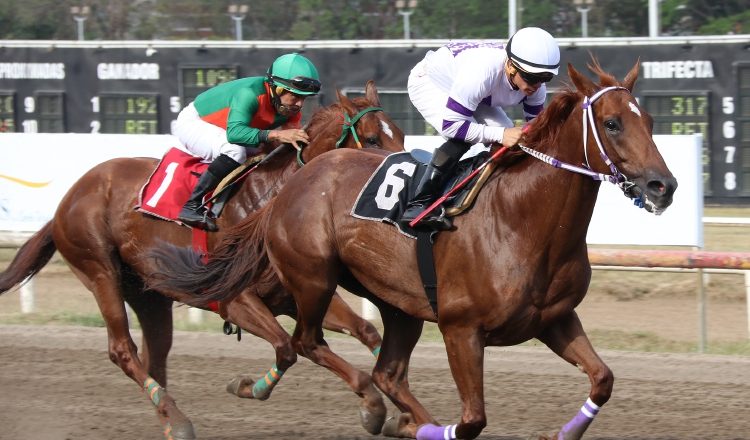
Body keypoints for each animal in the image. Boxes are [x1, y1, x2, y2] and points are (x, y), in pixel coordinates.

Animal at [0, 80, 404, 440]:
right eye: (371, 139)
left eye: (398, 134)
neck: (267, 201)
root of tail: (67, 200)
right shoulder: (234, 301)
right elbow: (288, 348)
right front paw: (370, 406)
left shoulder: (296, 293)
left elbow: (363, 330)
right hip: (100, 271)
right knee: (123, 350)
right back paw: (177, 420)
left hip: (149, 294)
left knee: (156, 354)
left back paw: (168, 418)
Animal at [147, 59, 677, 439]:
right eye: (612, 123)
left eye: (650, 120)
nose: (663, 185)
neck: (521, 220)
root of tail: (293, 183)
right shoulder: (462, 330)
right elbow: (471, 422)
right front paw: (415, 426)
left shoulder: (554, 319)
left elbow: (603, 380)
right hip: (313, 278)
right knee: (305, 342)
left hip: (399, 304)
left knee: (386, 373)